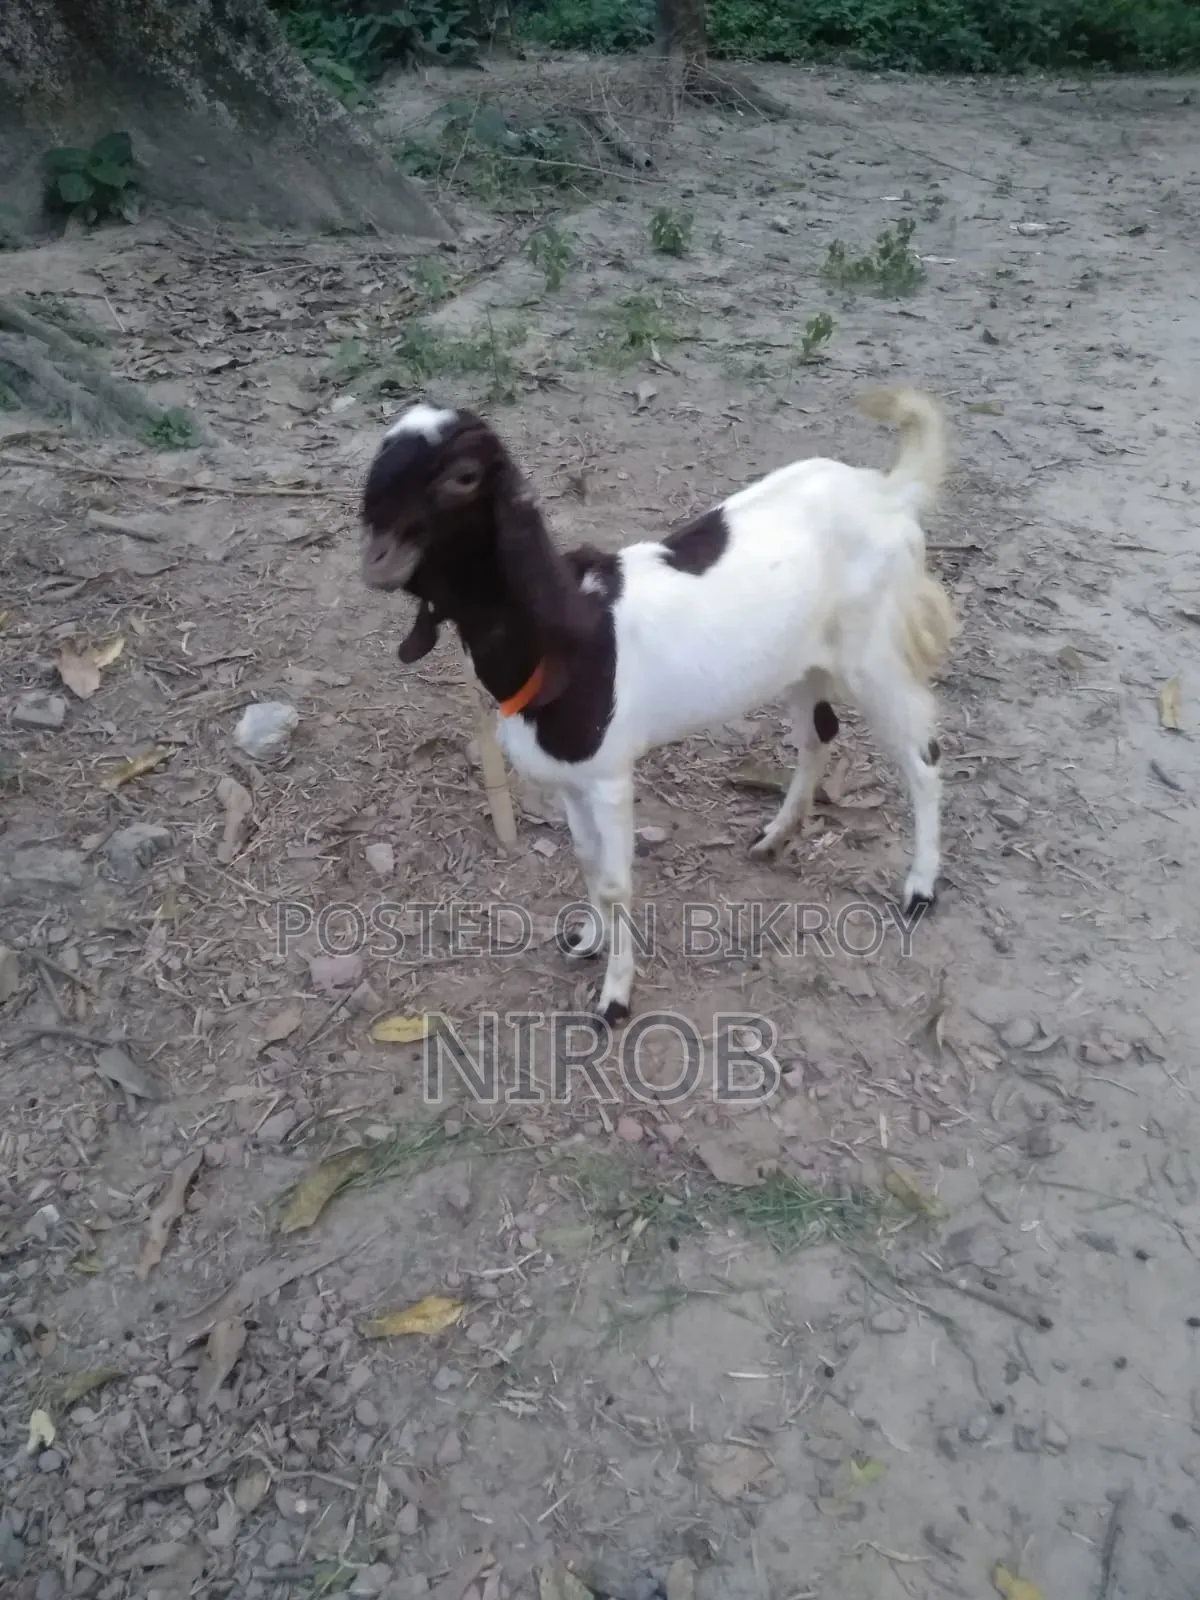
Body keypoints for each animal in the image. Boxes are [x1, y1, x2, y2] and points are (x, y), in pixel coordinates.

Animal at [360, 391, 957, 1026]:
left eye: (463, 477)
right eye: (382, 454)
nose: (376, 560)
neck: (561, 636)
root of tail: (887, 491)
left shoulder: (609, 778)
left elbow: (616, 882)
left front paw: (615, 998)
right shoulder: (570, 780)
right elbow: (588, 861)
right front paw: (588, 941)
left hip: (876, 653)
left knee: (922, 756)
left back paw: (920, 888)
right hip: (800, 662)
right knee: (819, 732)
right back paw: (776, 835)